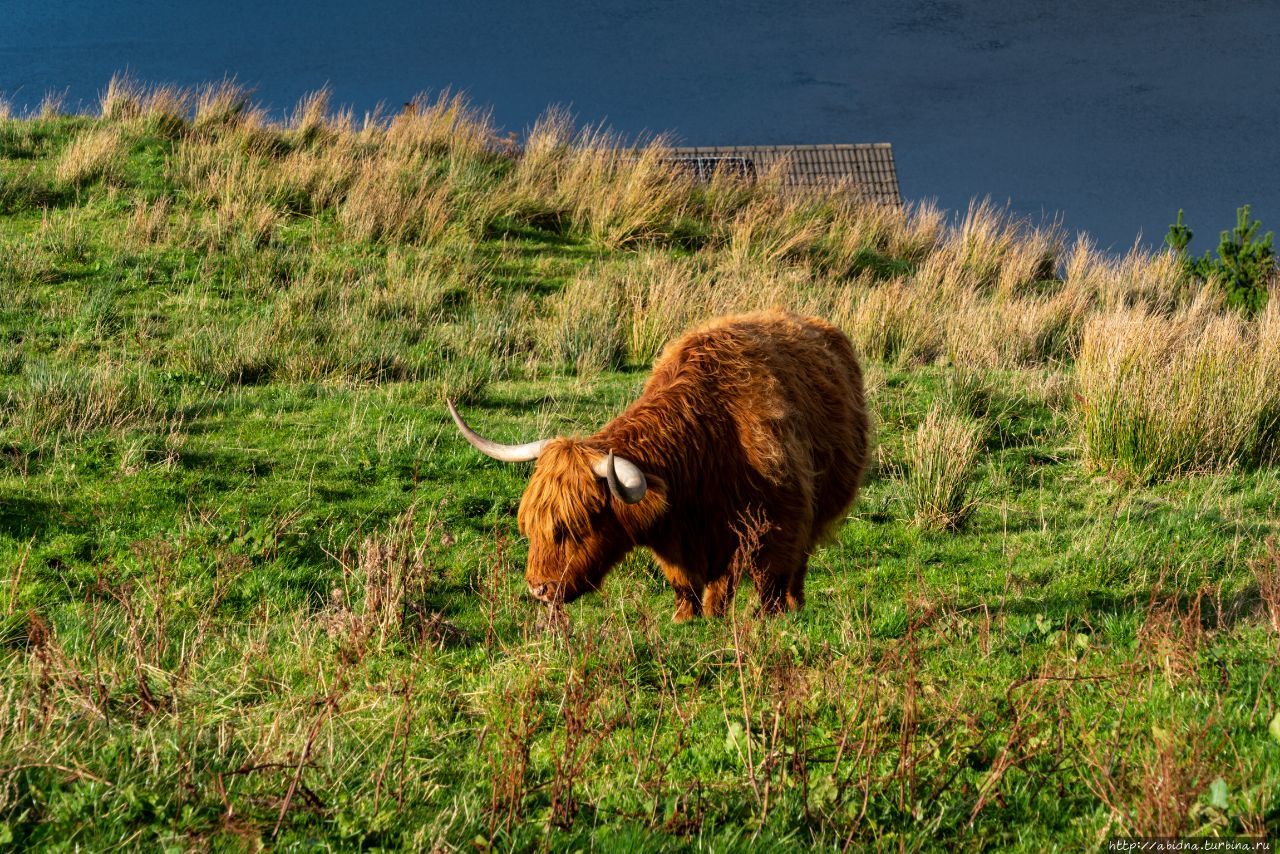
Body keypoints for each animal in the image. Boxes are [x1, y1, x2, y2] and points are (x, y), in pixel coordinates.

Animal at [448, 307, 870, 622]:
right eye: (530, 525)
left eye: (574, 527)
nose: (539, 588)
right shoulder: (679, 538)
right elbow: (689, 585)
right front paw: (688, 618)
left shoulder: (782, 519)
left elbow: (770, 578)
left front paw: (769, 616)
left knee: (797, 567)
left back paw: (795, 605)